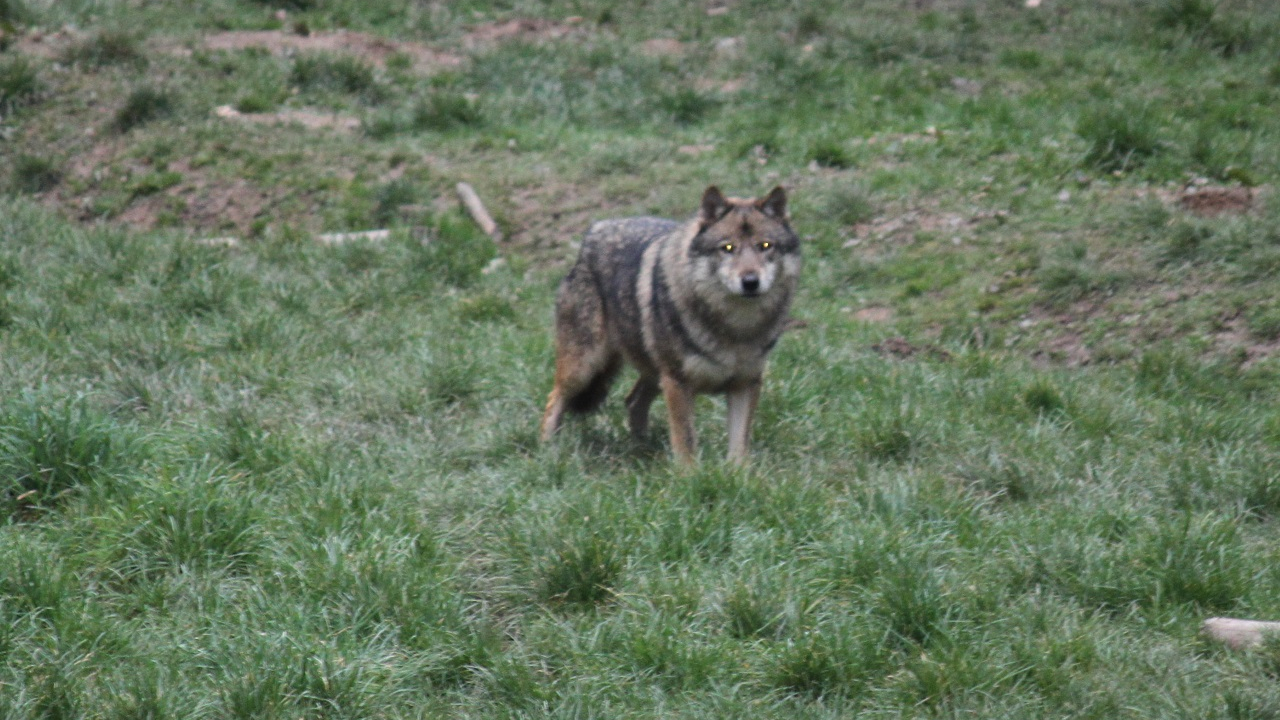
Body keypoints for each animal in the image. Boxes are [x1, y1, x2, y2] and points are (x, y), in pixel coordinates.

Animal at [539, 185, 801, 464]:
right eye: (727, 247)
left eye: (765, 246)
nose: (750, 282)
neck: (735, 327)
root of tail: (594, 230)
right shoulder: (678, 384)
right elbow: (685, 441)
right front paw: (689, 474)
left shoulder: (746, 384)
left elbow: (739, 445)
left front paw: (738, 473)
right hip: (584, 368)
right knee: (554, 397)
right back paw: (548, 449)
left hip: (653, 373)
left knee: (632, 401)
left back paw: (643, 449)